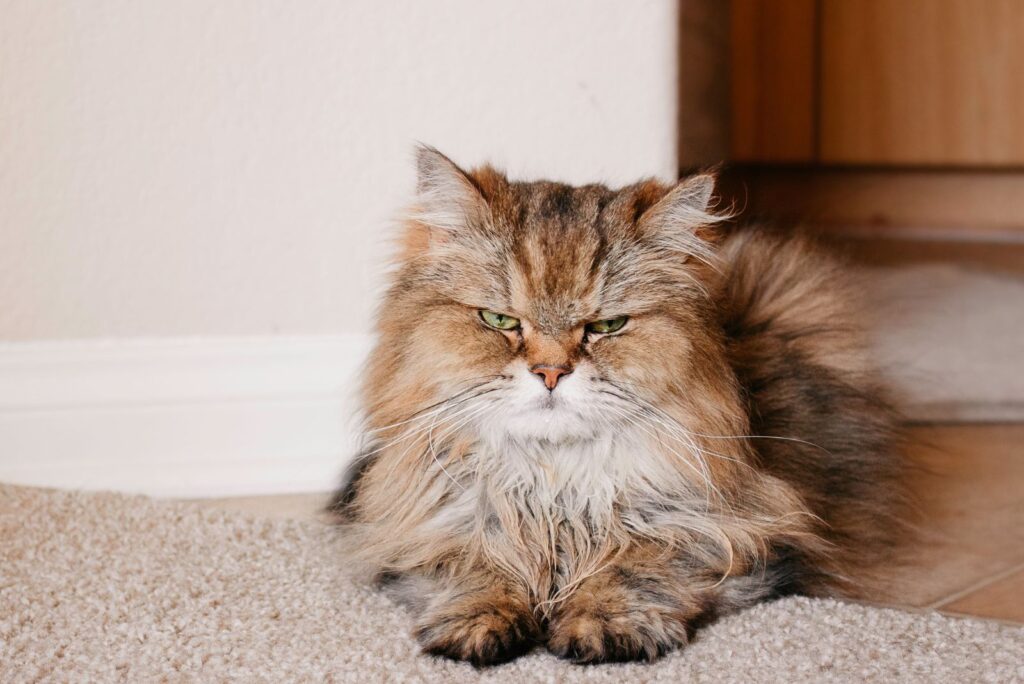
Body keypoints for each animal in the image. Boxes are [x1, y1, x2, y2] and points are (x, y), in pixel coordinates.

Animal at [327, 147, 905, 663]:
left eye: (607, 326)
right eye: (499, 320)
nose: (551, 373)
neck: (554, 489)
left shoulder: (730, 532)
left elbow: (635, 562)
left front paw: (603, 624)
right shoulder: (425, 529)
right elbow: (477, 563)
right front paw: (480, 622)